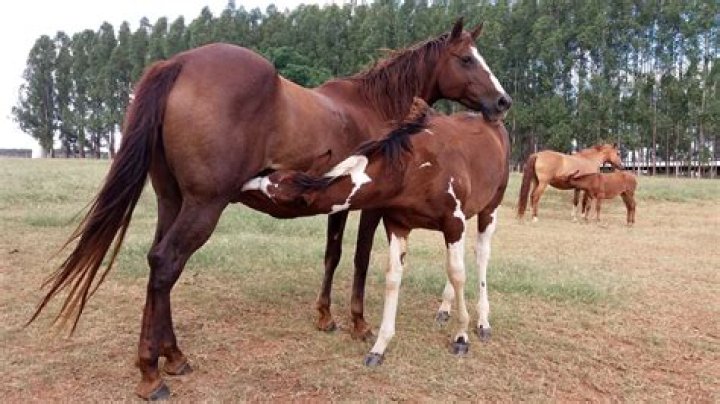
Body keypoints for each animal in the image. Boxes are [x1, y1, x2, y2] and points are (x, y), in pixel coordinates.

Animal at [243, 97, 510, 366]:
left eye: (270, 193)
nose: (244, 184)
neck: (415, 168)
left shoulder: (453, 222)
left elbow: (457, 274)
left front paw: (461, 336)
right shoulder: (399, 225)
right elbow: (393, 278)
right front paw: (379, 347)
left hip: (489, 209)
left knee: (481, 255)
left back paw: (483, 321)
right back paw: (444, 309)